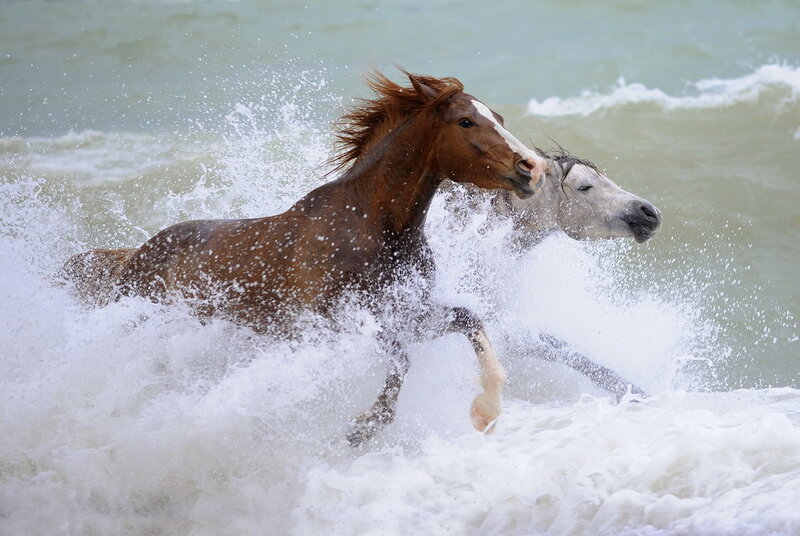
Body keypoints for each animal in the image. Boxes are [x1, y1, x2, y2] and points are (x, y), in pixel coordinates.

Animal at [59, 70, 548, 446]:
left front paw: (486, 412)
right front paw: (363, 427)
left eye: (499, 118)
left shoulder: (405, 312)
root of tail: (135, 256)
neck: (374, 227)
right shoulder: (338, 322)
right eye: (466, 121)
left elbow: (468, 319)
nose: (532, 168)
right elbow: (401, 359)